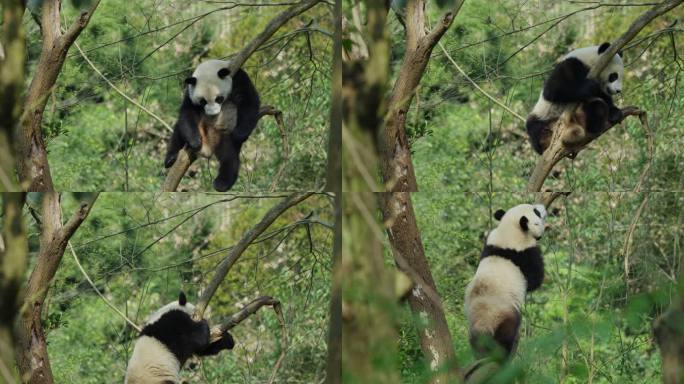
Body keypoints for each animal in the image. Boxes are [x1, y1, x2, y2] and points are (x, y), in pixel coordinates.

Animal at [164, 59, 260, 191]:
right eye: (203, 101)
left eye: (219, 98)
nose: (213, 114)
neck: (209, 68)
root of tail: (208, 148)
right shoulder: (190, 93)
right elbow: (187, 112)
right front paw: (195, 141)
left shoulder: (239, 79)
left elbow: (250, 102)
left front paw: (239, 134)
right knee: (178, 132)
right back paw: (170, 159)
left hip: (224, 136)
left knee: (229, 158)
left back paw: (221, 183)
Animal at [462, 204, 548, 360]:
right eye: (536, 212)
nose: (543, 207)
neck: (509, 232)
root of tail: (484, 324)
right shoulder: (525, 253)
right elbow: (535, 279)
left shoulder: (489, 244)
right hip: (504, 315)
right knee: (506, 335)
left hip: (473, 326)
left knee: (476, 344)